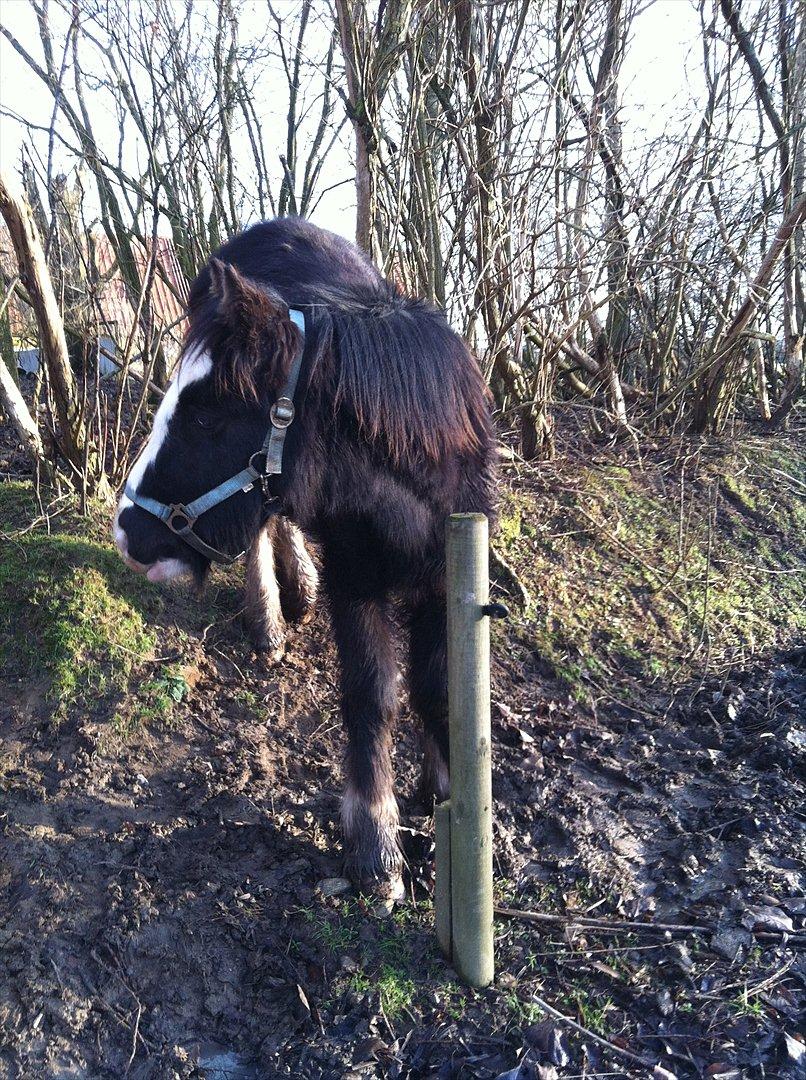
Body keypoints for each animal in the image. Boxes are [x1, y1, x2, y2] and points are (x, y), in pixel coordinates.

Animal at [111, 219, 496, 894]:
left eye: (206, 418)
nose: (128, 534)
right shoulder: (357, 579)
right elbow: (373, 694)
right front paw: (376, 843)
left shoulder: (444, 578)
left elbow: (437, 688)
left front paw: (443, 790)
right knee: (263, 530)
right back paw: (270, 615)